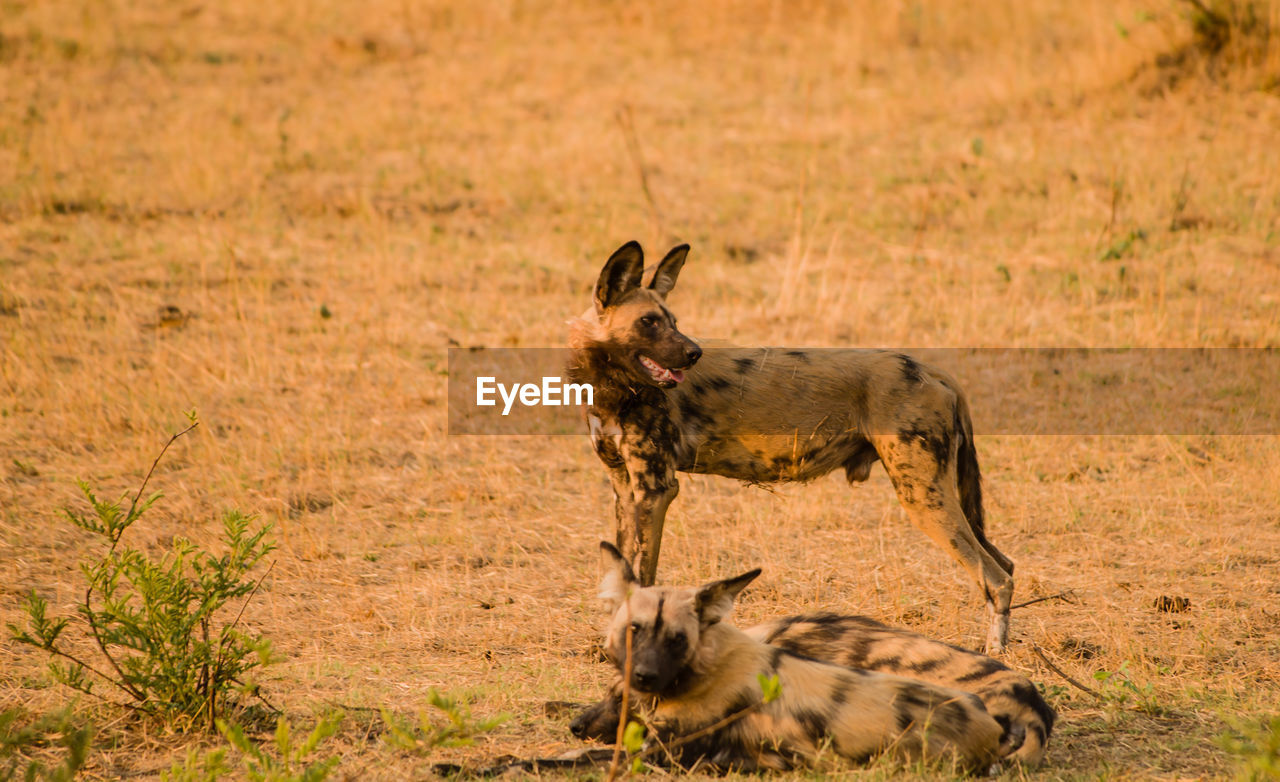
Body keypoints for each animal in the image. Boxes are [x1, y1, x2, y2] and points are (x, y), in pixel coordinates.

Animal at [570, 238, 1018, 655]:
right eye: (649, 322)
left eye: (673, 322)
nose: (694, 353)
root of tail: (934, 370)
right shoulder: (626, 490)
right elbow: (624, 573)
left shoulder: (656, 490)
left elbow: (642, 576)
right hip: (940, 497)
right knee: (1006, 563)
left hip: (923, 498)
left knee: (995, 578)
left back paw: (994, 654)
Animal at [593, 545, 1003, 778]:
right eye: (633, 629)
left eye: (677, 640)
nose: (645, 676)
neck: (706, 669)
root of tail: (992, 731)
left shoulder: (654, 754)